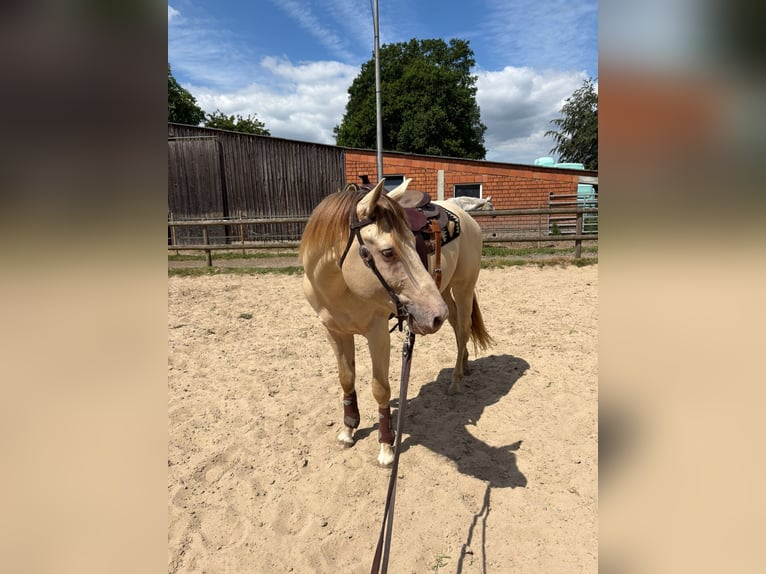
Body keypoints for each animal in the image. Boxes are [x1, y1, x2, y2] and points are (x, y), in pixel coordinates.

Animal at [299, 179, 493, 466]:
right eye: (388, 252)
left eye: (413, 241)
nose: (434, 316)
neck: (339, 286)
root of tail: (464, 215)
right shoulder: (334, 331)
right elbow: (346, 379)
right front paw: (348, 430)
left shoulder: (378, 334)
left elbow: (380, 389)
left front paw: (386, 447)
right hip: (445, 292)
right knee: (456, 325)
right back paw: (465, 364)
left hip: (463, 288)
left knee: (462, 329)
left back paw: (456, 381)